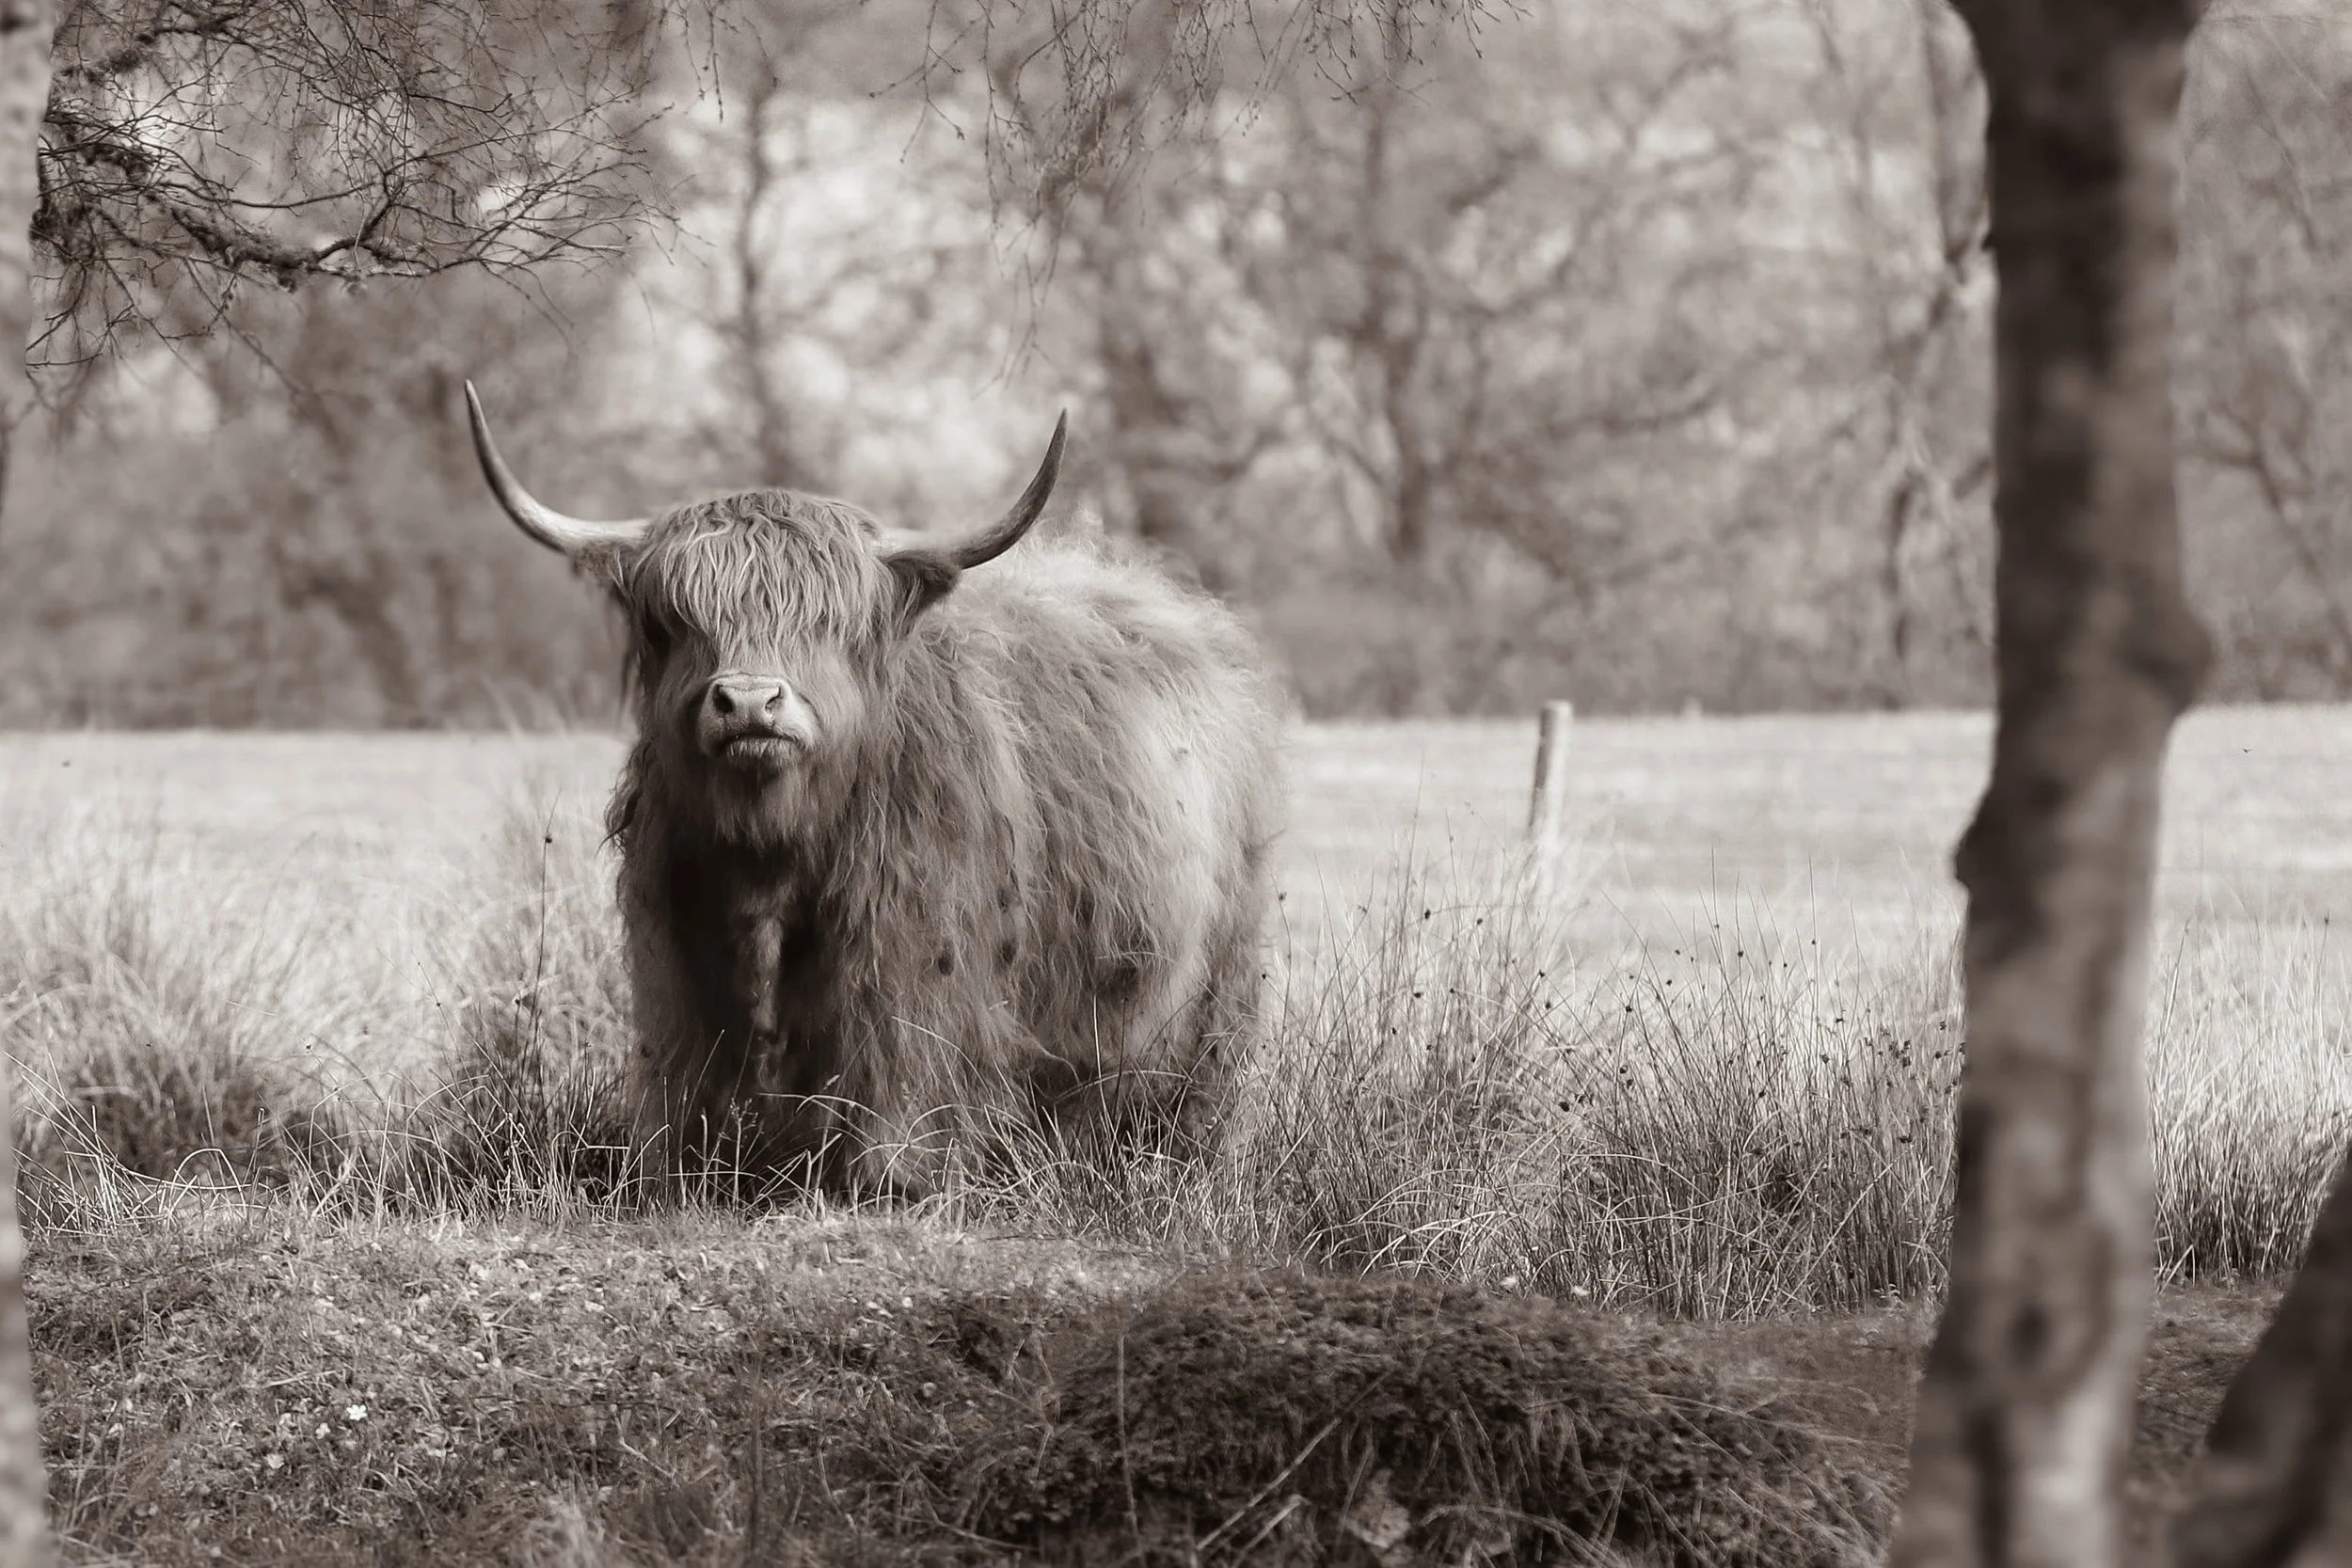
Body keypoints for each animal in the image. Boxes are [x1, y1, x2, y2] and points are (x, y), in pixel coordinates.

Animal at [462, 386, 1285, 1195]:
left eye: (828, 622)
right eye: (673, 621)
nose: (751, 700)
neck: (775, 844)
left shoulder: (915, 948)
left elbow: (899, 1060)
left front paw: (893, 1177)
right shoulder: (679, 942)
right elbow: (687, 1068)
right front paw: (675, 1169)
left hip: (1217, 983)